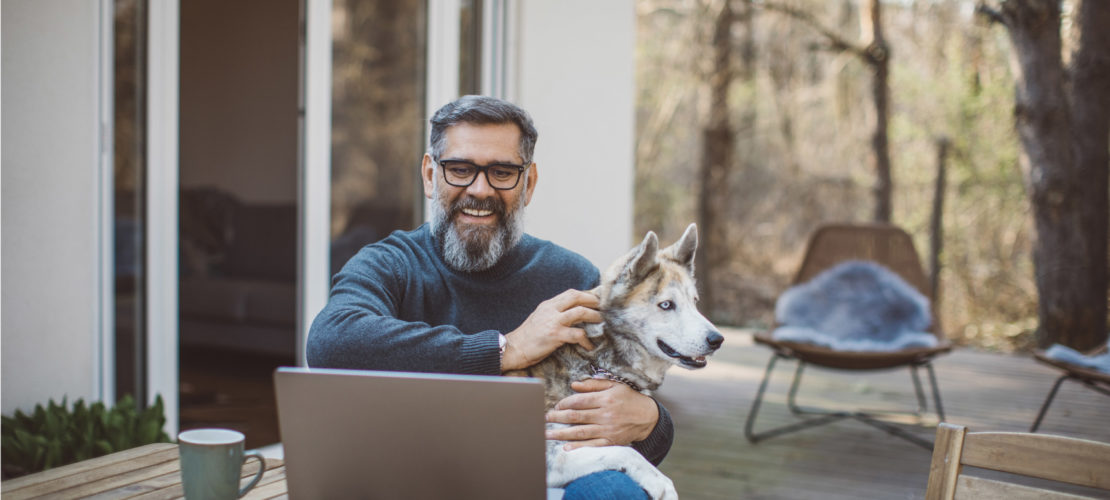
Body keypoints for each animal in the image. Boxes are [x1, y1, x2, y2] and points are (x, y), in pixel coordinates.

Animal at [508, 223, 723, 500]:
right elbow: (625, 451)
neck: (596, 361)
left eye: (694, 302)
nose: (717, 339)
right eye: (666, 305)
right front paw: (661, 483)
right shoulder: (549, 455)